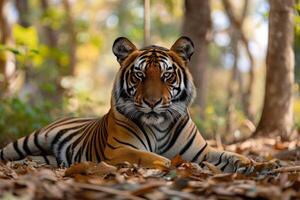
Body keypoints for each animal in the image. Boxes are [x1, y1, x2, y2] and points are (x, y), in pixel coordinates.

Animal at [1, 37, 256, 173]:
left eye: (166, 76)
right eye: (139, 75)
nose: (152, 102)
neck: (160, 125)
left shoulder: (202, 151)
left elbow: (228, 154)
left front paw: (251, 163)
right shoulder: (120, 149)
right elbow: (150, 157)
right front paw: (173, 165)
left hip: (49, 157)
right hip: (32, 139)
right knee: (6, 151)